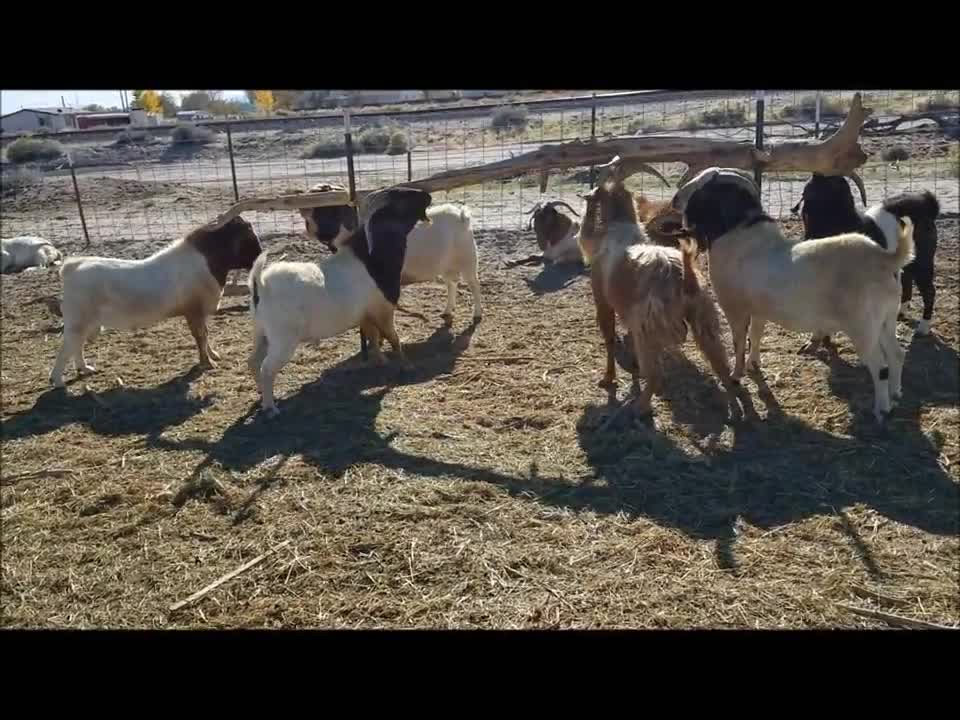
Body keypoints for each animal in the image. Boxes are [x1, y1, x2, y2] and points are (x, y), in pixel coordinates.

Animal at [50, 217, 262, 388]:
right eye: (248, 237)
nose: (261, 259)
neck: (205, 261)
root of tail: (71, 268)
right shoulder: (193, 310)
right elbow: (201, 336)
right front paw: (208, 363)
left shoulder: (198, 312)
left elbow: (205, 334)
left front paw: (214, 355)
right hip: (78, 320)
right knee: (66, 346)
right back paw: (58, 380)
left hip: (86, 322)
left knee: (76, 345)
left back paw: (85, 369)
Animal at [298, 183, 480, 324]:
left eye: (323, 208)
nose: (302, 208)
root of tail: (462, 216)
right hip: (445, 266)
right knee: (452, 284)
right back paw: (447, 311)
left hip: (468, 259)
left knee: (473, 285)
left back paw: (477, 315)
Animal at [676, 167, 916, 422]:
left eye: (704, 185)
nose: (675, 199)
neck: (740, 236)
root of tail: (884, 259)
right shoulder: (759, 311)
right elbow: (756, 336)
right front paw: (753, 364)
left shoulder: (735, 309)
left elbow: (739, 341)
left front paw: (736, 375)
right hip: (885, 320)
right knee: (897, 354)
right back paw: (896, 393)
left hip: (863, 328)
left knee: (880, 366)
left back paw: (882, 409)